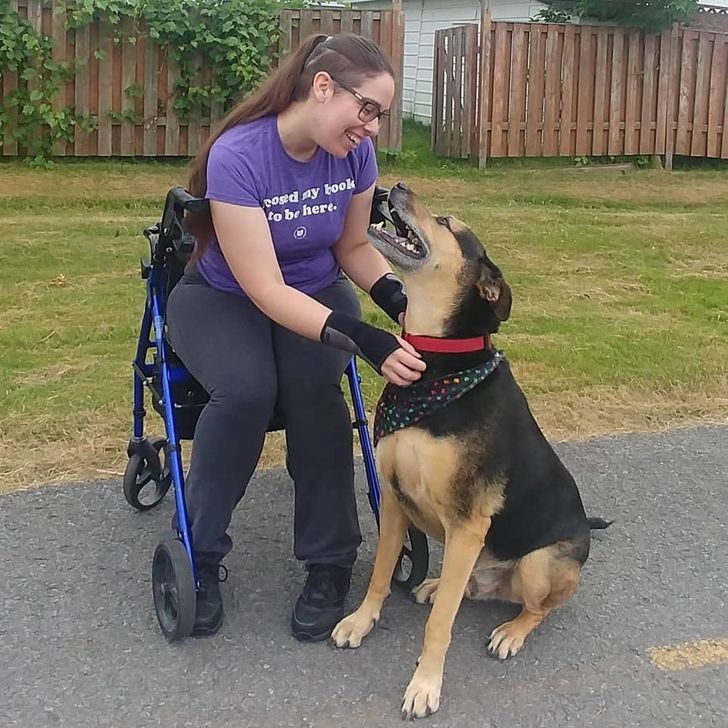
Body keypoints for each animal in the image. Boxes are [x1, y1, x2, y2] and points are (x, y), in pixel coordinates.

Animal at [332, 183, 608, 724]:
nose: (392, 187)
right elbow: (379, 574)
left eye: (445, 221)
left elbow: (440, 625)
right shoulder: (393, 498)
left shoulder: (467, 521)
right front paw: (360, 620)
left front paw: (425, 685)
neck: (437, 367)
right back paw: (437, 584)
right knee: (469, 588)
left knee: (535, 605)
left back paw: (511, 632)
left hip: (537, 565)